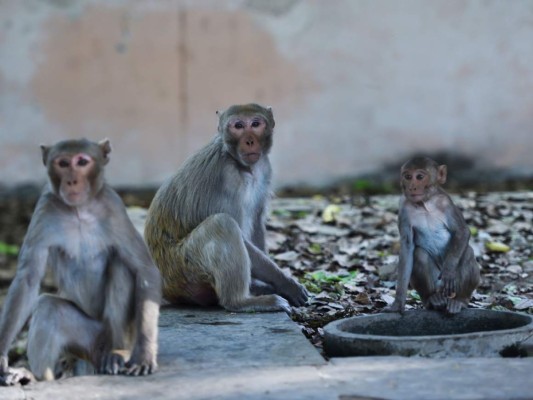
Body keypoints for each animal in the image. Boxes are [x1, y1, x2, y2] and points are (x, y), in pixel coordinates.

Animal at [0, 138, 160, 384]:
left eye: (82, 162)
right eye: (63, 163)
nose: (72, 180)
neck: (79, 211)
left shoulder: (114, 208)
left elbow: (145, 270)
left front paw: (144, 355)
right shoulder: (44, 209)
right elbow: (28, 280)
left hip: (119, 332)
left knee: (120, 264)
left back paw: (117, 353)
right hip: (85, 341)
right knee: (49, 308)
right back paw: (38, 377)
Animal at [143, 102, 308, 312]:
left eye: (255, 124)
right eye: (238, 126)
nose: (249, 141)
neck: (241, 165)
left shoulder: (264, 168)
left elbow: (256, 221)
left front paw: (273, 283)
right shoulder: (225, 176)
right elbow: (237, 231)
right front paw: (286, 283)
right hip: (183, 269)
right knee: (222, 224)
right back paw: (240, 302)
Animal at [384, 156, 480, 316]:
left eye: (419, 177)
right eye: (408, 176)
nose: (412, 187)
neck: (424, 204)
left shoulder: (446, 202)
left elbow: (462, 231)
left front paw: (448, 270)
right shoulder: (403, 207)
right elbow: (407, 248)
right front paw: (398, 304)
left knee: (467, 253)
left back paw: (459, 301)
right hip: (436, 284)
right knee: (419, 255)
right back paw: (433, 299)